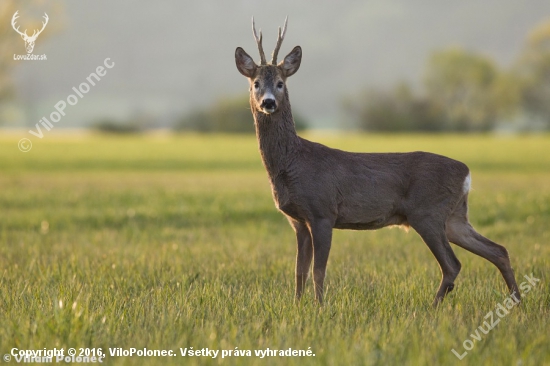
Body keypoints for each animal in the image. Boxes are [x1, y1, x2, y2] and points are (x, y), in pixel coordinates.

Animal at [234, 18, 520, 308]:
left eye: (281, 83)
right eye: (256, 83)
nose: (268, 102)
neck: (293, 163)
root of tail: (466, 173)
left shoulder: (323, 211)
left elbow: (318, 269)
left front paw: (320, 307)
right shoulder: (298, 220)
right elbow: (298, 271)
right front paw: (297, 305)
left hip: (428, 212)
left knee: (453, 264)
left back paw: (433, 307)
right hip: (454, 217)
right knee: (498, 250)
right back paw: (517, 302)